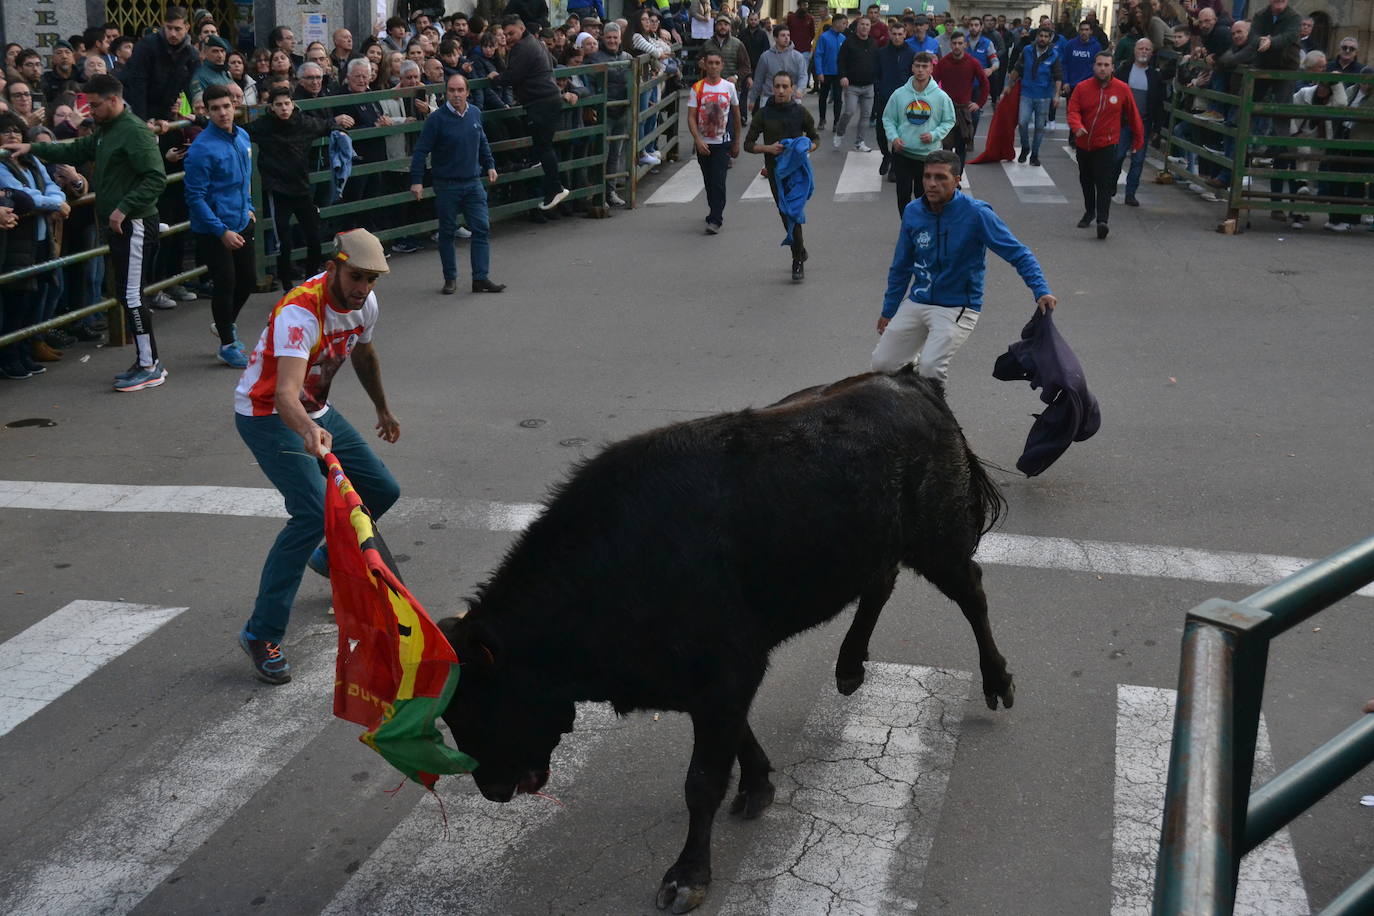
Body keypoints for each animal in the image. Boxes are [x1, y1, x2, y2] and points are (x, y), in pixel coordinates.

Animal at [439, 370, 1022, 911]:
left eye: (487, 702)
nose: (492, 790)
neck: (611, 572)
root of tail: (910, 381)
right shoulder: (711, 681)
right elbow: (737, 738)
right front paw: (758, 785)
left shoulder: (724, 674)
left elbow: (701, 781)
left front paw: (688, 877)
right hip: (879, 542)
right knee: (881, 582)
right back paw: (850, 666)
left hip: (939, 539)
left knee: (971, 592)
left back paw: (996, 681)